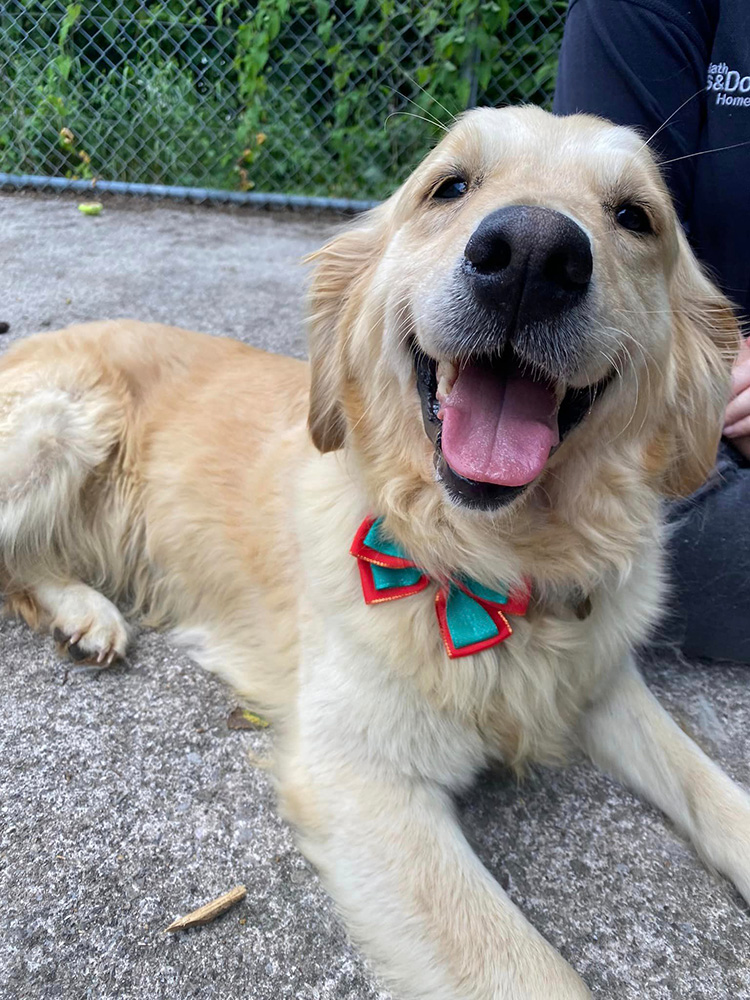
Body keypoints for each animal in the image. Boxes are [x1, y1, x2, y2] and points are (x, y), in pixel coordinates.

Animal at [1, 105, 750, 996]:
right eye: (449, 187)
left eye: (636, 216)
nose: (533, 256)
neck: (499, 567)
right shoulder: (364, 781)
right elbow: (531, 969)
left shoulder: (601, 681)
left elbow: (712, 784)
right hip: (58, 423)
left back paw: (84, 614)